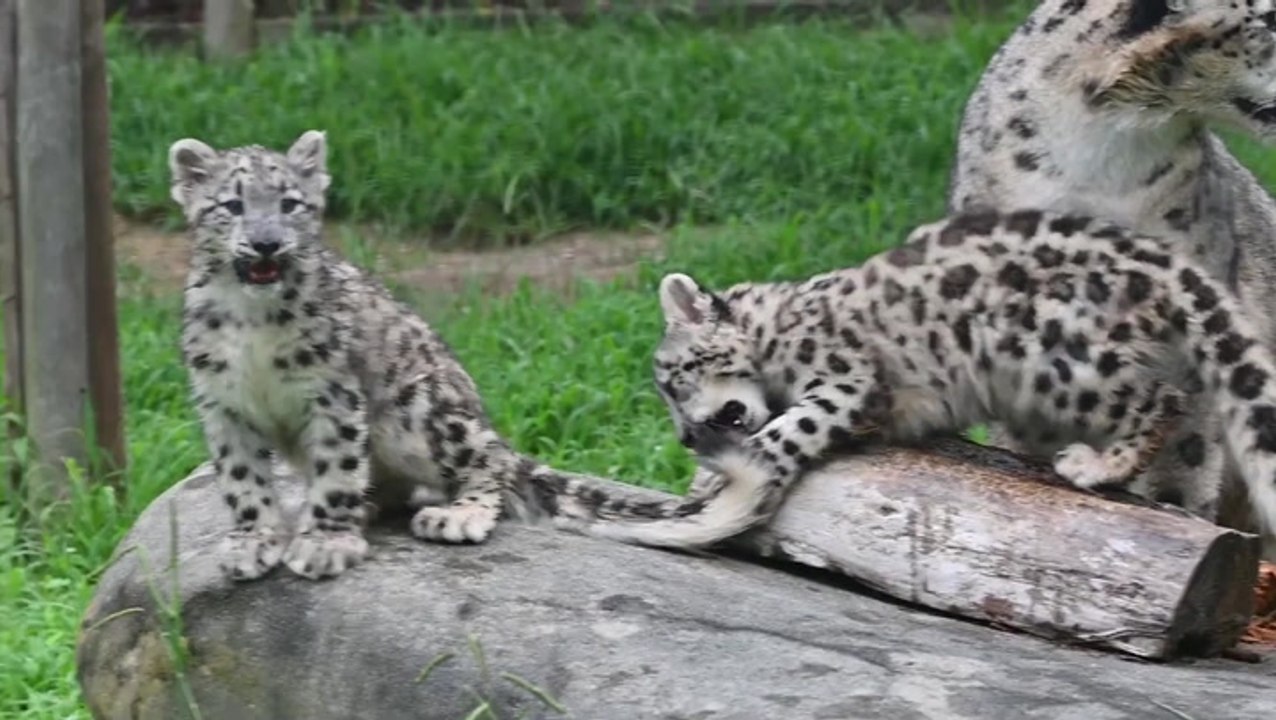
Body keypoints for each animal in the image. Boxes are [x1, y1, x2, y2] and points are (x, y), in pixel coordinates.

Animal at [168, 130, 707, 581]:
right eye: (232, 203)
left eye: (289, 203)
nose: (266, 243)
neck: (251, 322)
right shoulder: (223, 403)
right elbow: (242, 478)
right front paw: (252, 543)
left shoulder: (332, 393)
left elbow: (336, 467)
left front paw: (325, 544)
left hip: (424, 409)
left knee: (488, 463)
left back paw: (455, 516)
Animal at [599, 208, 1276, 550]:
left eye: (673, 381)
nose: (686, 438)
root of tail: (1157, 259)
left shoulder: (845, 379)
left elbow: (781, 434)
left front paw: (716, 487)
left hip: (1059, 360)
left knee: (1159, 397)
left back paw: (1096, 465)